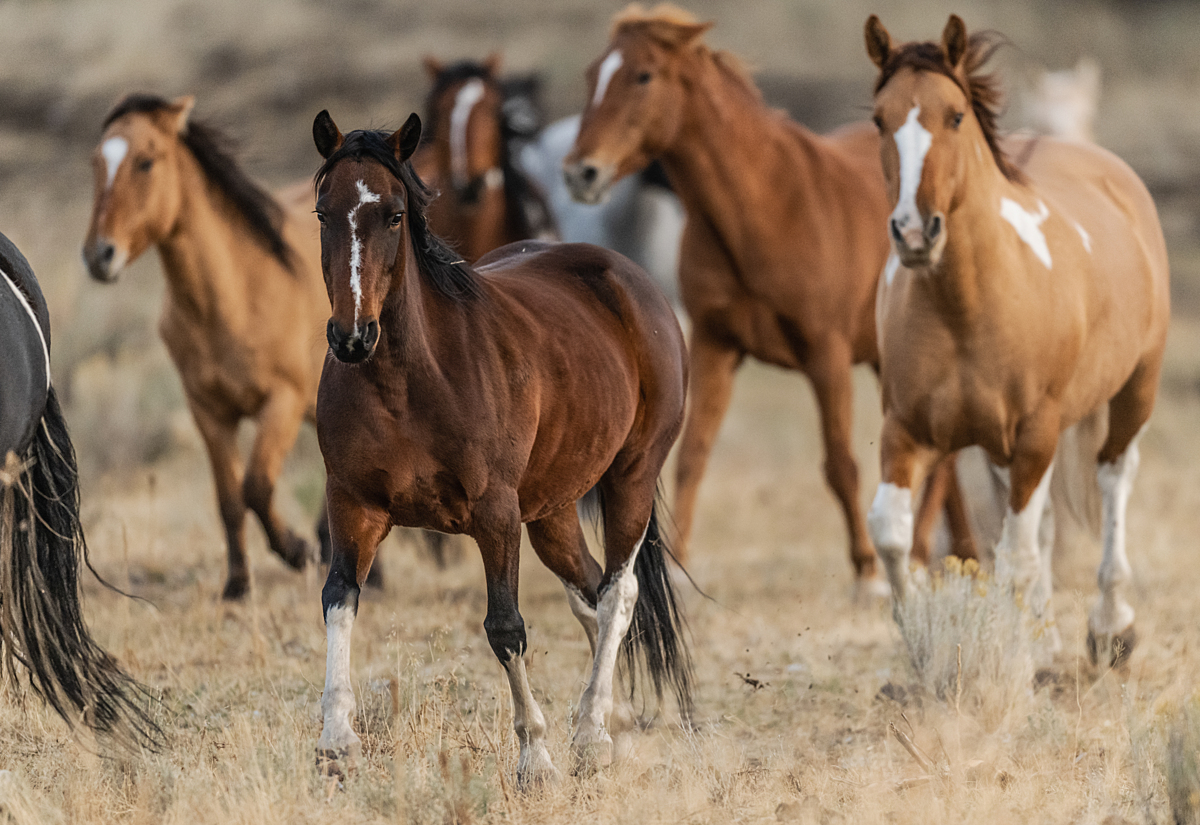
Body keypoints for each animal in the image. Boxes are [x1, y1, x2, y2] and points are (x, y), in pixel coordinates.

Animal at [82, 94, 331, 600]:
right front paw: (237, 584)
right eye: (96, 162)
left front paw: (298, 552)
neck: (232, 298)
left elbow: (257, 487)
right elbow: (229, 498)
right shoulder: (209, 412)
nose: (99, 255)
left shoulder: (283, 402)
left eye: (146, 161)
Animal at [310, 110, 692, 785]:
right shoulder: (353, 506)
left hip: (631, 478)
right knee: (589, 593)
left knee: (618, 594)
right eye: (323, 212)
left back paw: (591, 734)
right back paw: (607, 721)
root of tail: (630, 279)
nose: (352, 338)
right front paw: (336, 742)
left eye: (395, 215)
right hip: (552, 511)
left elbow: (506, 627)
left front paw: (534, 757)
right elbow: (339, 601)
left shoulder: (494, 513)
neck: (410, 384)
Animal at [562, 4, 976, 596]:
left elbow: (840, 463)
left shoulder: (826, 355)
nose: (581, 172)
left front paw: (868, 573)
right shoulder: (714, 344)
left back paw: (918, 556)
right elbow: (693, 454)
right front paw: (683, 570)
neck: (767, 208)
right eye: (593, 73)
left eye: (642, 76)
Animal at [863, 15, 1169, 664]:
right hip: (1000, 449)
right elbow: (892, 534)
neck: (966, 304)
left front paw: (1023, 659)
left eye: (955, 115)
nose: (914, 232)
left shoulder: (1035, 434)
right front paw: (921, 637)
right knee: (1045, 523)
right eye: (879, 118)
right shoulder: (907, 430)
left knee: (1113, 481)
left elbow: (1018, 558)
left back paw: (1111, 627)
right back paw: (1050, 637)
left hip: (1133, 393)